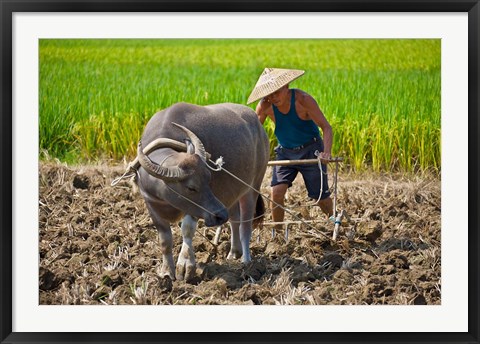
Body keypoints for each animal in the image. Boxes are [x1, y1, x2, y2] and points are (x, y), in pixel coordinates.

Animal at [135, 102, 270, 282]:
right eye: (191, 187)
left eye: (209, 178)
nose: (220, 215)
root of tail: (259, 125)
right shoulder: (151, 206)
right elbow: (165, 240)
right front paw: (166, 272)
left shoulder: (195, 208)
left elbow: (187, 229)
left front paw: (185, 266)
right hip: (231, 195)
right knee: (235, 220)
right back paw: (233, 253)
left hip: (252, 186)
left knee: (245, 226)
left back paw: (246, 260)